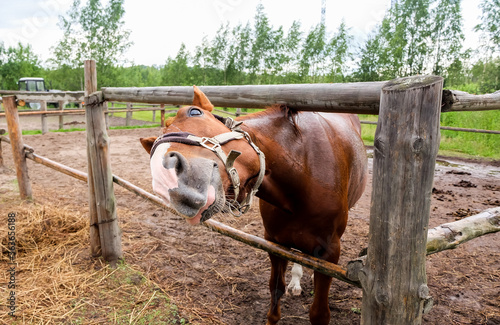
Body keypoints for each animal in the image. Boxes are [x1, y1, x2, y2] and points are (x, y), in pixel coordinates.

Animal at [140, 86, 368, 324]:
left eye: (194, 112)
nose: (165, 178)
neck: (304, 172)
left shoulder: (330, 252)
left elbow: (319, 312)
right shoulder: (275, 243)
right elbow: (276, 290)